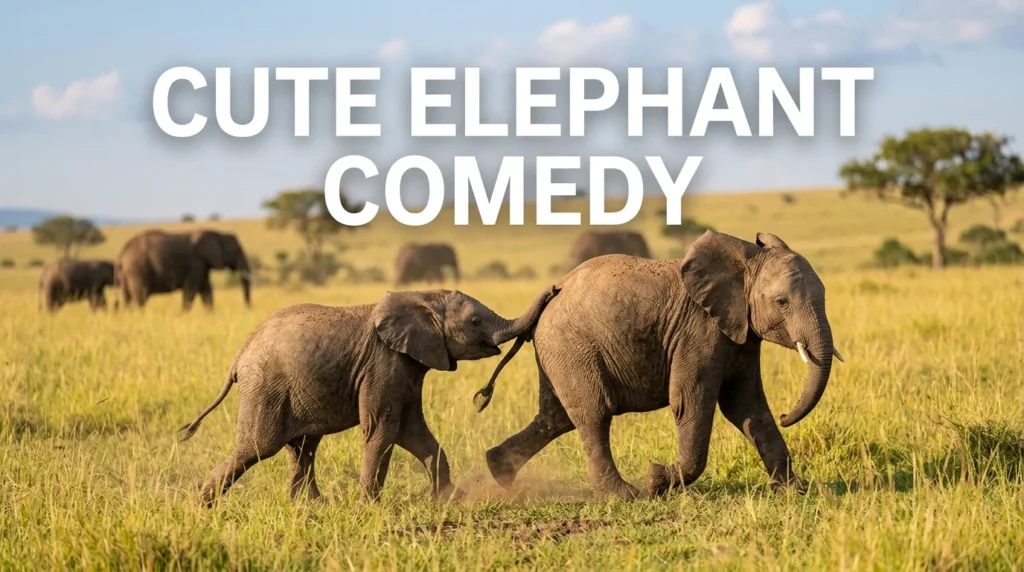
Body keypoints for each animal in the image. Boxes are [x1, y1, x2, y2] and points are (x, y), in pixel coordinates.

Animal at [115, 229, 251, 311]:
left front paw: (211, 314)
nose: (248, 307)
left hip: (127, 273)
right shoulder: (196, 263)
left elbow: (206, 290)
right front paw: (183, 315)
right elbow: (191, 290)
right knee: (140, 296)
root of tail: (123, 251)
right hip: (137, 269)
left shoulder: (202, 264)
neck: (217, 233)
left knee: (127, 297)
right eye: (237, 251)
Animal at [177, 286, 558, 505]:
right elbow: (383, 429)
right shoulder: (384, 363)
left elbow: (412, 431)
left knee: (302, 447)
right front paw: (370, 507)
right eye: (476, 322)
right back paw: (201, 505)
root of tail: (239, 356)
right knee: (260, 446)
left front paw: (451, 500)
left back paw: (311, 507)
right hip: (266, 386)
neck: (421, 297)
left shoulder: (407, 366)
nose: (554, 288)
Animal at [474, 231, 844, 500]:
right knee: (593, 413)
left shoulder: (740, 332)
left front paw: (796, 491)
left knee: (556, 417)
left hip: (559, 353)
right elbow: (691, 402)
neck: (744, 261)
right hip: (571, 347)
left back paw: (498, 470)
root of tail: (548, 298)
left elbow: (747, 406)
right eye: (782, 302)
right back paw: (625, 495)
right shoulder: (698, 331)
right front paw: (656, 480)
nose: (786, 416)